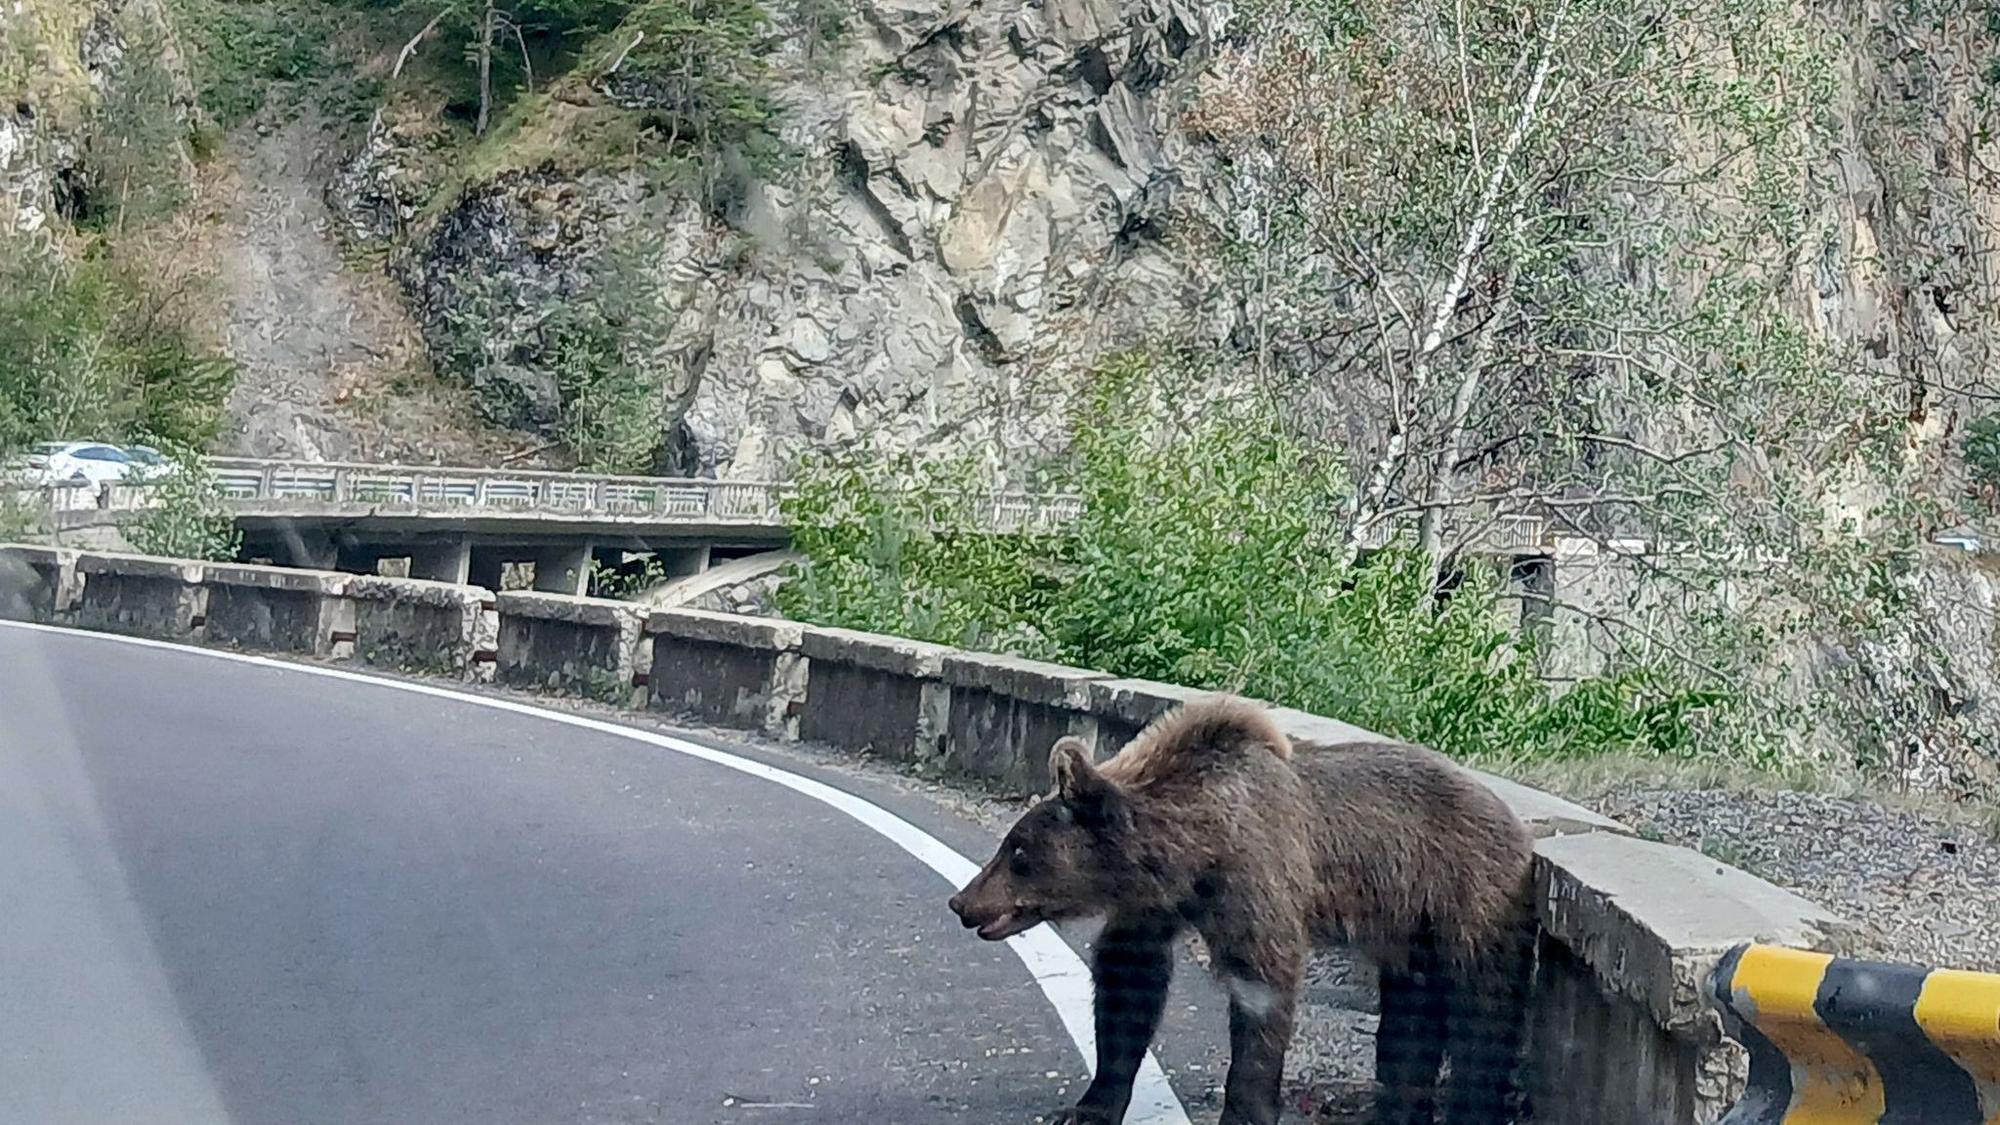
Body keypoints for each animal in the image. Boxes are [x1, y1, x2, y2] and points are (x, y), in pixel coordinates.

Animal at [947, 696, 1534, 1125]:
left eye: (1017, 851)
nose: (962, 902)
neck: (1196, 849)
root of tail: (1514, 821)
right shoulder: (1160, 903)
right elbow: (1128, 979)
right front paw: (1091, 1103)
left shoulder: (1257, 881)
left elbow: (1261, 990)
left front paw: (1245, 1108)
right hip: (1409, 932)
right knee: (1410, 1023)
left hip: (1468, 894)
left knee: (1483, 1011)